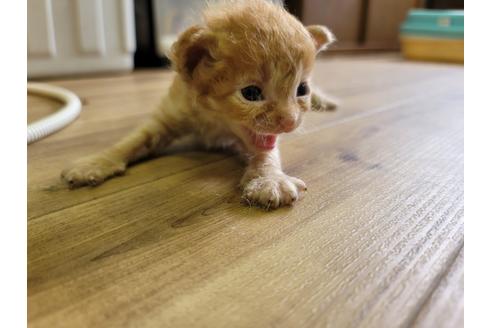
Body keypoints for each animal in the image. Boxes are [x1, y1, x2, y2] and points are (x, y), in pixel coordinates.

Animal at [60, 0, 338, 209]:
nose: (290, 122)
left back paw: (325, 100)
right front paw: (95, 163)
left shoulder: (264, 136)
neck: (214, 120)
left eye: (301, 90)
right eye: (250, 93)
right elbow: (132, 141)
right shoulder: (169, 115)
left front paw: (269, 180)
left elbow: (266, 153)